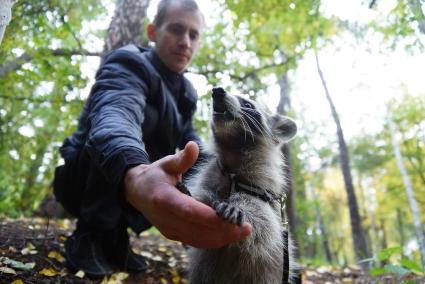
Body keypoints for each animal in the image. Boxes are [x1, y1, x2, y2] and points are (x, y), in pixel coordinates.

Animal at [187, 87, 300, 284]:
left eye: (248, 104)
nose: (217, 90)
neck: (233, 150)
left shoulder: (261, 188)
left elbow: (263, 217)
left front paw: (237, 207)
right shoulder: (214, 172)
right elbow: (202, 192)